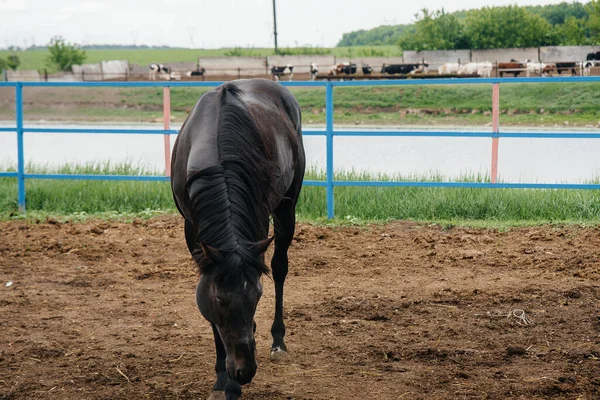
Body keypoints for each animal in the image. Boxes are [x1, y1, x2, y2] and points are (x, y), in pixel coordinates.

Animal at [171, 79, 308, 400]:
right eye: (221, 300)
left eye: (258, 295)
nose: (245, 372)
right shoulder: (192, 231)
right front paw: (222, 378)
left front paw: (232, 384)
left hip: (286, 206)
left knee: (280, 267)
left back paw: (277, 342)